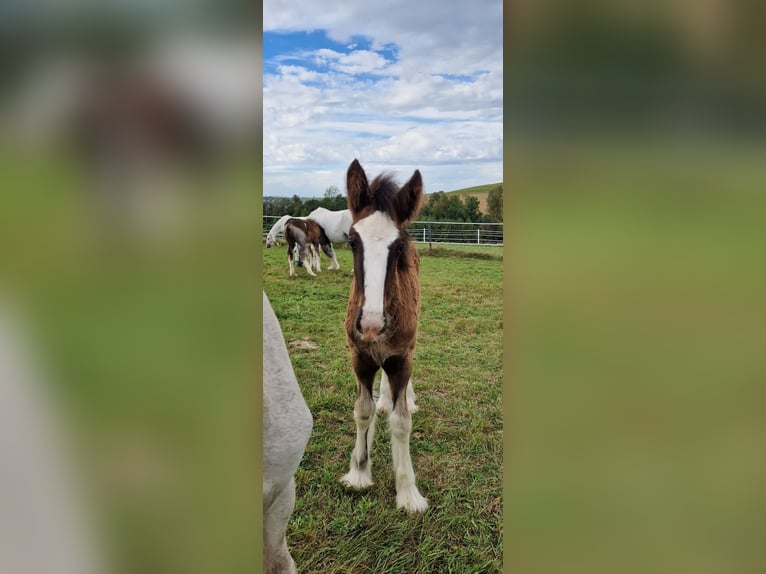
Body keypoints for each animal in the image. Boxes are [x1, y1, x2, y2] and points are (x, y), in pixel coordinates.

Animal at [339, 159, 428, 514]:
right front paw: (359, 471)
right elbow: (361, 410)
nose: (371, 325)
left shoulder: (401, 359)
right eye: (352, 241)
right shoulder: (361, 357)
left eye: (398, 246)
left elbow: (401, 423)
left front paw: (408, 492)